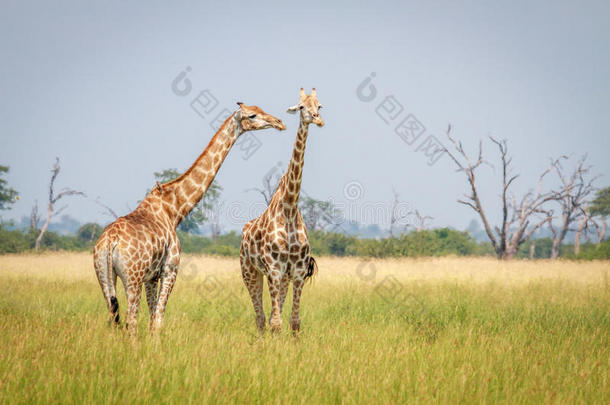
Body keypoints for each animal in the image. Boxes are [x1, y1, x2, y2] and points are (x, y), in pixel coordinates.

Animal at [92, 102, 284, 334]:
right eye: (252, 115)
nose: (279, 122)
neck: (173, 209)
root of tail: (110, 241)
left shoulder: (151, 276)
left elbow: (152, 318)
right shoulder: (170, 269)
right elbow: (158, 319)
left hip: (104, 276)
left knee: (114, 317)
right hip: (132, 277)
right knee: (131, 320)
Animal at [240, 87, 324, 332]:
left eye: (319, 105)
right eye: (301, 107)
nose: (318, 119)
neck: (289, 208)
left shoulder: (297, 272)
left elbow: (294, 321)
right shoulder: (274, 270)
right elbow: (276, 323)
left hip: (281, 277)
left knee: (267, 317)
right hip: (250, 271)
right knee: (260, 318)